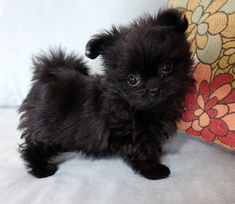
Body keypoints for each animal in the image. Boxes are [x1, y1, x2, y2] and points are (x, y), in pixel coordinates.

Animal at [18, 8, 194, 179]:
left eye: (166, 67)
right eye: (132, 80)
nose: (154, 88)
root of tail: (48, 72)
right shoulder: (133, 135)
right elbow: (142, 152)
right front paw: (154, 169)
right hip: (48, 128)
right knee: (35, 145)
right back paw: (41, 169)